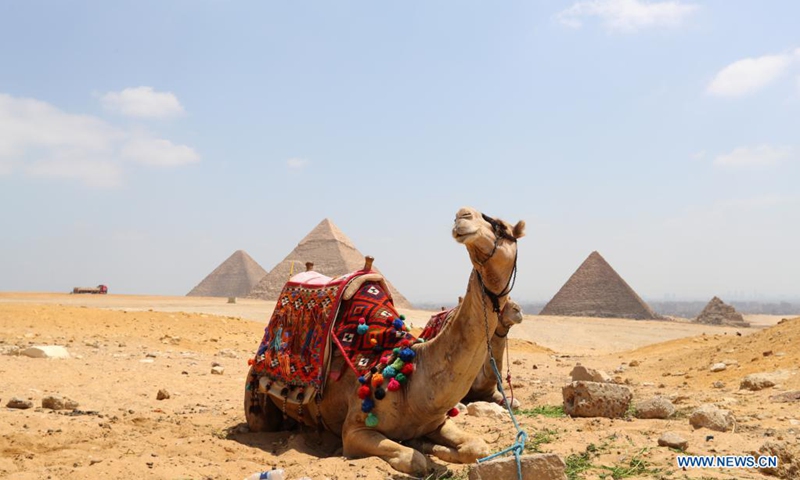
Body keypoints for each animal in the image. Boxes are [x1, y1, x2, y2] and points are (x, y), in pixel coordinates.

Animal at [245, 207, 525, 475]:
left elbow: (476, 447)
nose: (462, 215)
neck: (411, 374)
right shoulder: (354, 430)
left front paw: (429, 445)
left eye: (501, 226)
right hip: (256, 395)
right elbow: (415, 460)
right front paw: (424, 451)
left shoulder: (439, 421)